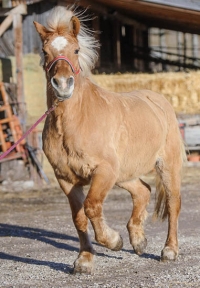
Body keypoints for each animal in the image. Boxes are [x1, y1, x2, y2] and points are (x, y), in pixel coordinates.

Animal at [34, 5, 186, 274]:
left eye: (76, 50)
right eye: (45, 51)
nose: (62, 84)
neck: (76, 121)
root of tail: (158, 101)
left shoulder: (103, 171)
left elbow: (92, 207)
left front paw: (113, 241)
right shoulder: (66, 178)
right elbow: (78, 217)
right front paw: (84, 260)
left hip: (166, 166)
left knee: (173, 203)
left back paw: (169, 250)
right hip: (123, 174)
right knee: (143, 191)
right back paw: (138, 240)